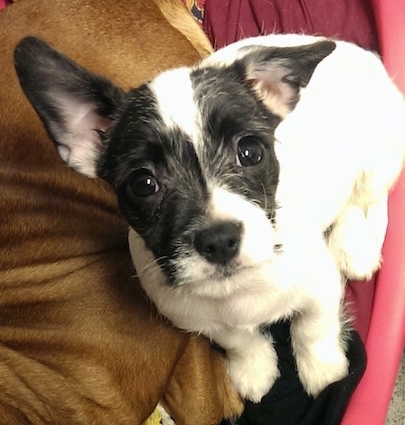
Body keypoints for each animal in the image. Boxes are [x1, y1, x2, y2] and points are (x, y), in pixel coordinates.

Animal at [14, 35, 404, 400]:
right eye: (143, 184)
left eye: (250, 152)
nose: (219, 240)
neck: (237, 287)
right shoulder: (201, 318)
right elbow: (238, 340)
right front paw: (255, 368)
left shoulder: (321, 287)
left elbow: (312, 328)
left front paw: (323, 371)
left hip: (378, 163)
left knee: (360, 199)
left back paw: (355, 247)